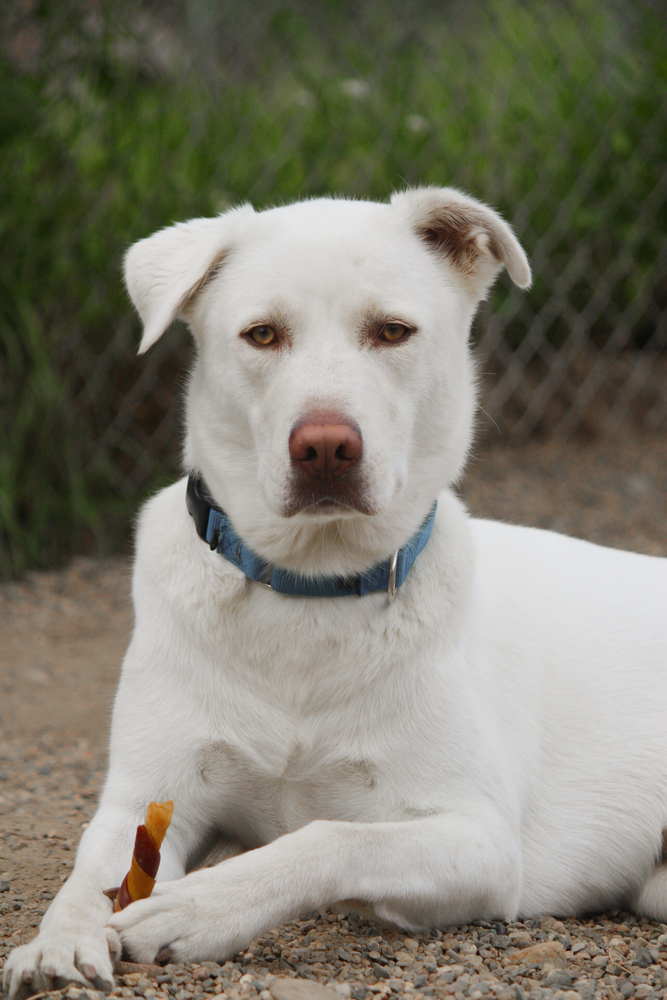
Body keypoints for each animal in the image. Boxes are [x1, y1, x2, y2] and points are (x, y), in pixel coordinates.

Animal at [5, 189, 667, 1000]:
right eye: (261, 334)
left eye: (392, 331)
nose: (324, 446)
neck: (311, 593)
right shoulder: (144, 797)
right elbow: (88, 875)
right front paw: (58, 941)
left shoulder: (480, 841)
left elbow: (328, 837)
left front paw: (193, 909)